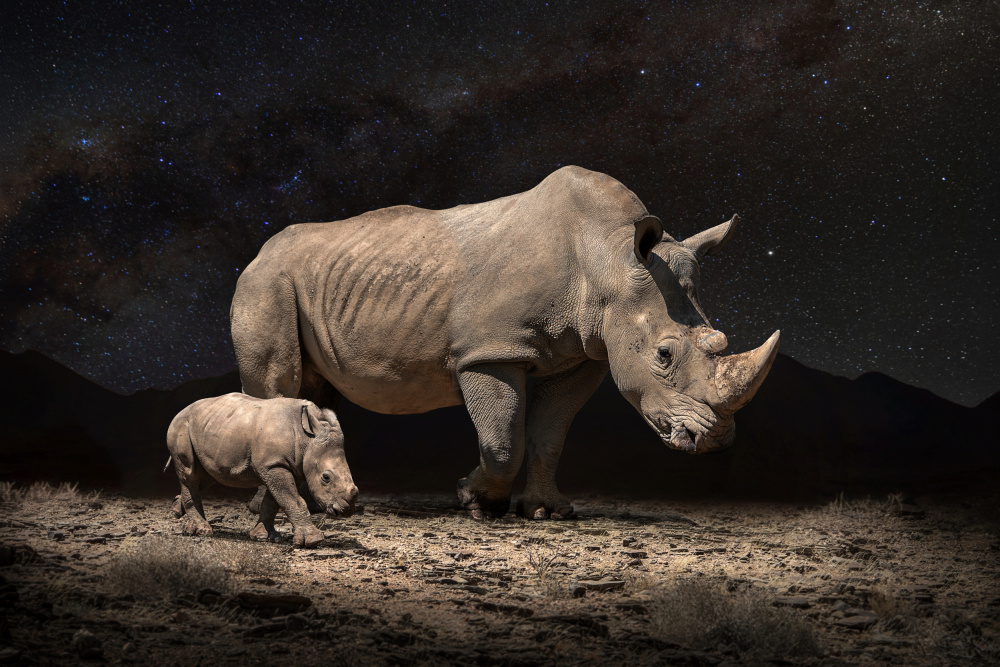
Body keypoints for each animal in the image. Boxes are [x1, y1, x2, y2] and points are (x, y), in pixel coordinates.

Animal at [231, 166, 779, 520]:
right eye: (664, 355)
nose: (715, 440)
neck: (609, 258)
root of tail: (257, 253)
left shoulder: (585, 355)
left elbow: (549, 434)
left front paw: (546, 512)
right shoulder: (489, 352)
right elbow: (502, 439)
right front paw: (477, 503)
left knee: (315, 392)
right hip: (266, 283)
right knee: (277, 384)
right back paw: (269, 512)